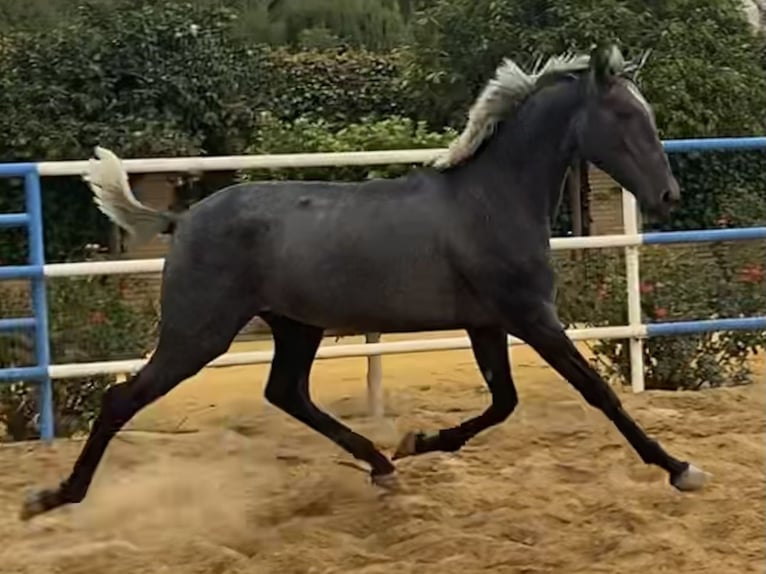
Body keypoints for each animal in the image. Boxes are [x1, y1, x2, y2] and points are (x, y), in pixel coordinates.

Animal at [22, 44, 708, 520]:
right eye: (622, 114)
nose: (667, 196)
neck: (491, 200)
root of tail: (183, 218)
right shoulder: (530, 314)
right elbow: (597, 392)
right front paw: (680, 468)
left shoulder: (486, 321)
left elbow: (504, 402)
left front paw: (415, 441)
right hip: (199, 332)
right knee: (122, 399)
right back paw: (53, 497)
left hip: (295, 326)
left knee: (286, 392)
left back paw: (381, 465)